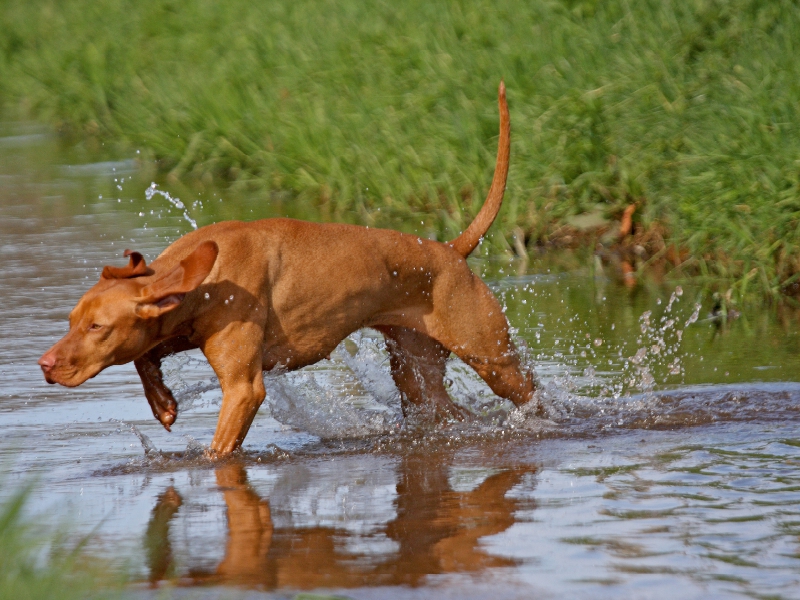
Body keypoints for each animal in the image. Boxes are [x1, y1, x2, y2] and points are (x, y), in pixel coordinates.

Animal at [39, 83, 536, 454]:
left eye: (98, 327)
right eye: (71, 321)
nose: (44, 364)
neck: (206, 276)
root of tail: (451, 250)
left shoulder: (244, 388)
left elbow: (218, 451)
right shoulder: (173, 324)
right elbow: (145, 356)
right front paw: (162, 402)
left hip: (494, 360)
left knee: (531, 396)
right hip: (418, 378)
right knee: (447, 412)